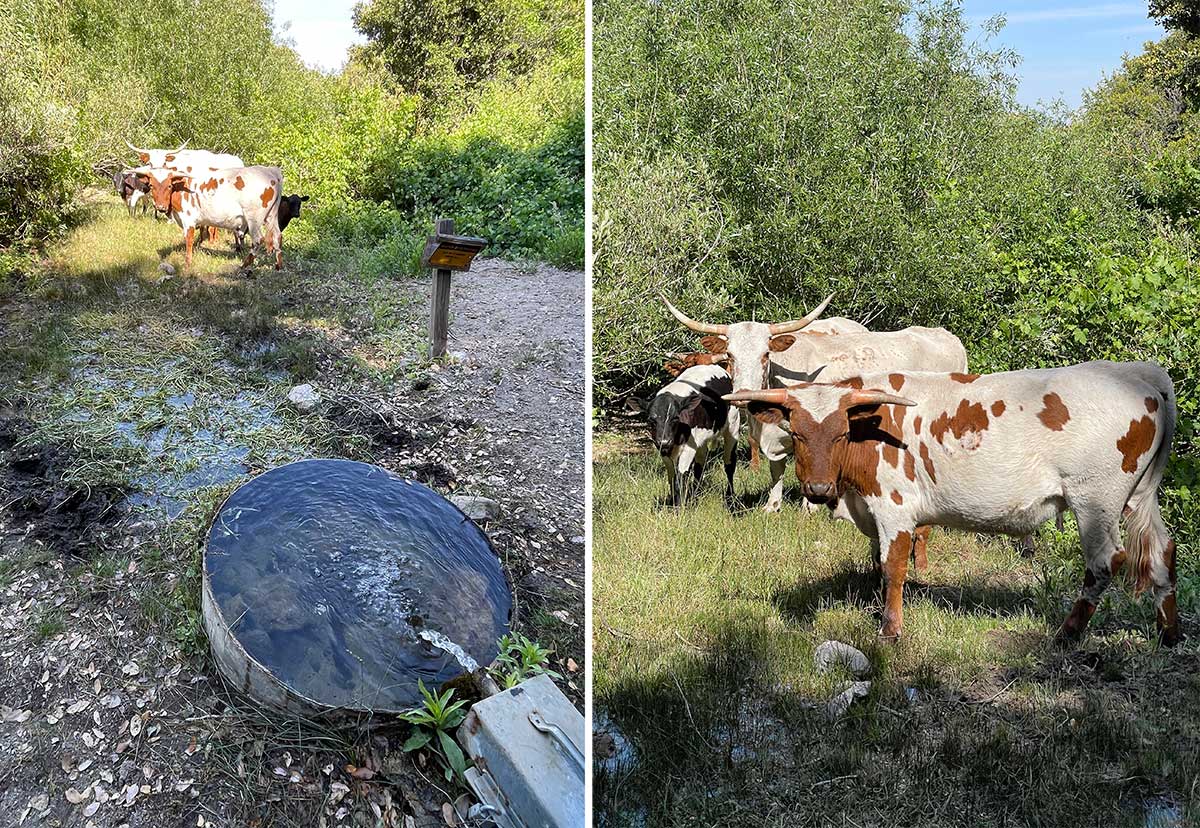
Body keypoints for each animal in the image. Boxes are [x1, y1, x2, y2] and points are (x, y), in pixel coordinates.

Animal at [724, 360, 1176, 643]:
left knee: (1104, 562)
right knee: (1162, 548)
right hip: (1138, 497)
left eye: (840, 434)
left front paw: (889, 629)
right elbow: (877, 563)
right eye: (797, 433)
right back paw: (1169, 632)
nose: (818, 489)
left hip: (1095, 501)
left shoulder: (893, 508)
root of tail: (1137, 372)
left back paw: (1067, 633)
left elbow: (893, 567)